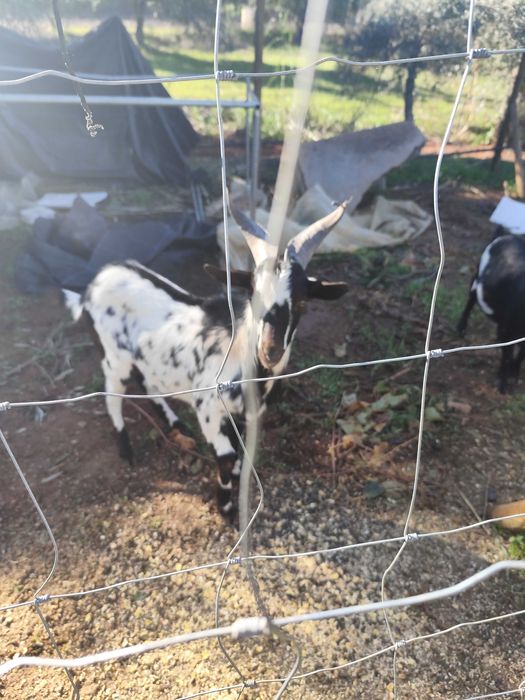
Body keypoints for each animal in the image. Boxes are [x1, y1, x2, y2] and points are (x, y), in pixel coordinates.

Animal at [63, 204, 349, 517]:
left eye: (302, 301)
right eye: (252, 292)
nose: (270, 350)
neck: (240, 351)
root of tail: (91, 287)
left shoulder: (244, 414)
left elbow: (241, 450)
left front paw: (235, 479)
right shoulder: (209, 407)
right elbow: (226, 456)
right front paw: (226, 506)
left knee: (147, 381)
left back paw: (175, 424)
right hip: (114, 358)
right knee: (112, 396)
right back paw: (126, 449)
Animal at [457, 226, 525, 393]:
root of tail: (504, 236)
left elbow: (521, 354)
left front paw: (514, 373)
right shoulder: (509, 329)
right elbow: (507, 355)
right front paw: (503, 385)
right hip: (476, 277)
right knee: (470, 301)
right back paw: (461, 329)